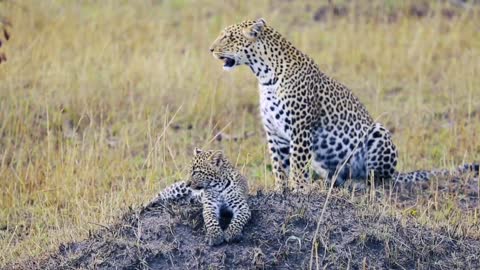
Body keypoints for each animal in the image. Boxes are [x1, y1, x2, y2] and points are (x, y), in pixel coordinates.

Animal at [208, 17, 478, 192]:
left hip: (378, 133)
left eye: (228, 37)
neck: (264, 75)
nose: (210, 49)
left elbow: (297, 165)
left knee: (380, 180)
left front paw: (299, 190)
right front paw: (280, 190)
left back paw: (357, 185)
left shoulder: (301, 131)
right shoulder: (274, 134)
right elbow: (278, 166)